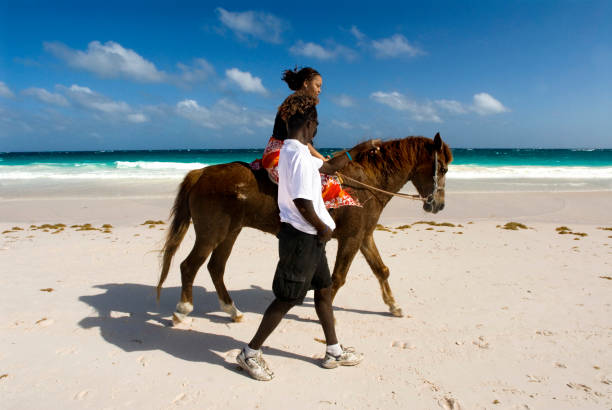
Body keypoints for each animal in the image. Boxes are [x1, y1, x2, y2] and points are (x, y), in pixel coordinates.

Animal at [158, 133, 452, 322]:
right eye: (444, 169)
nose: (438, 205)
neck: (366, 184)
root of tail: (201, 173)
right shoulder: (351, 239)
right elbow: (338, 278)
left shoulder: (363, 236)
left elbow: (381, 270)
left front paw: (393, 305)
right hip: (211, 233)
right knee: (189, 266)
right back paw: (183, 309)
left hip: (231, 232)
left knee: (215, 268)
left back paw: (232, 310)